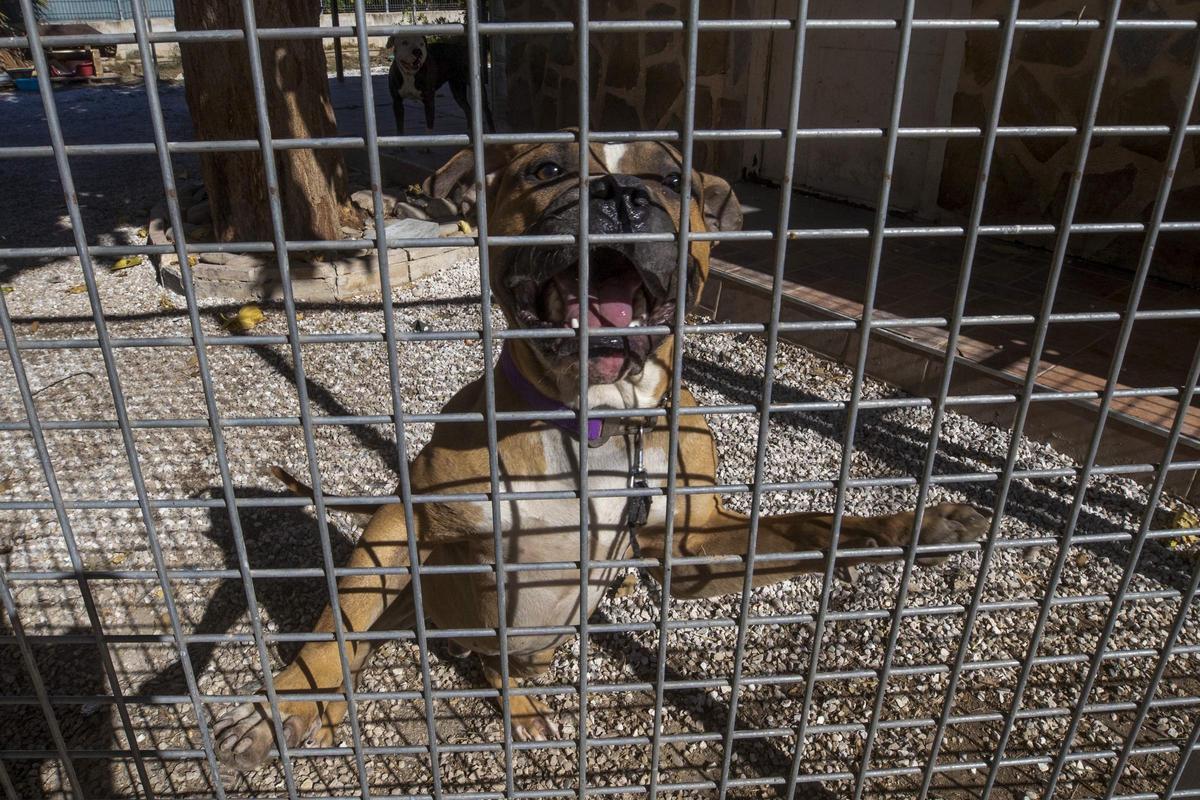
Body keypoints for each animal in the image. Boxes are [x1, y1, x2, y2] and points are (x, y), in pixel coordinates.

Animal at [211, 137, 988, 767]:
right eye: (545, 170)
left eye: (672, 178)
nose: (620, 194)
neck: (602, 420)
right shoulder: (405, 521)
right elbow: (333, 636)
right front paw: (285, 707)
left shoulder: (691, 550)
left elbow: (813, 527)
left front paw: (916, 528)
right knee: (366, 634)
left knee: (500, 665)